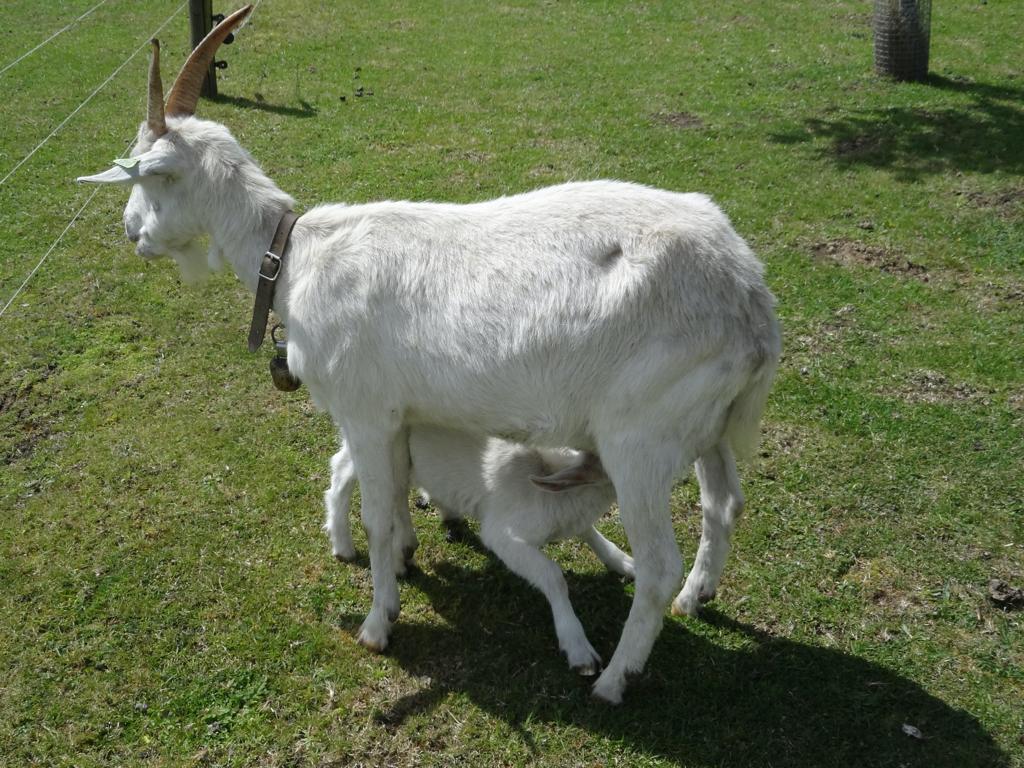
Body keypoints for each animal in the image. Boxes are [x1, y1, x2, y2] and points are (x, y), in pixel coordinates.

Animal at [325, 426, 634, 675]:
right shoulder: (502, 534)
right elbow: (553, 575)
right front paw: (579, 648)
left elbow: (590, 533)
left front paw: (623, 562)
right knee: (344, 469)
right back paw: (343, 544)